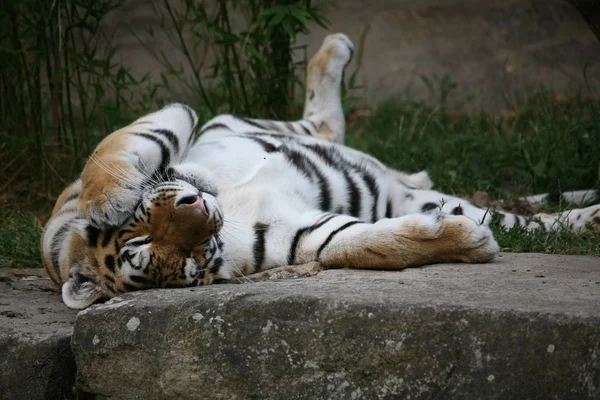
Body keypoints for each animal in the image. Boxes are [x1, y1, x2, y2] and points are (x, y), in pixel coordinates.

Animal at [42, 33, 600, 310]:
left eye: (141, 226)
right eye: (186, 265)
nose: (197, 205)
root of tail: (401, 182)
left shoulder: (163, 124)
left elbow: (111, 152)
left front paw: (112, 196)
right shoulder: (297, 236)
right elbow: (364, 244)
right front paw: (467, 242)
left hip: (235, 120)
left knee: (323, 123)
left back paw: (335, 47)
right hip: (426, 200)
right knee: (525, 221)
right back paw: (586, 220)